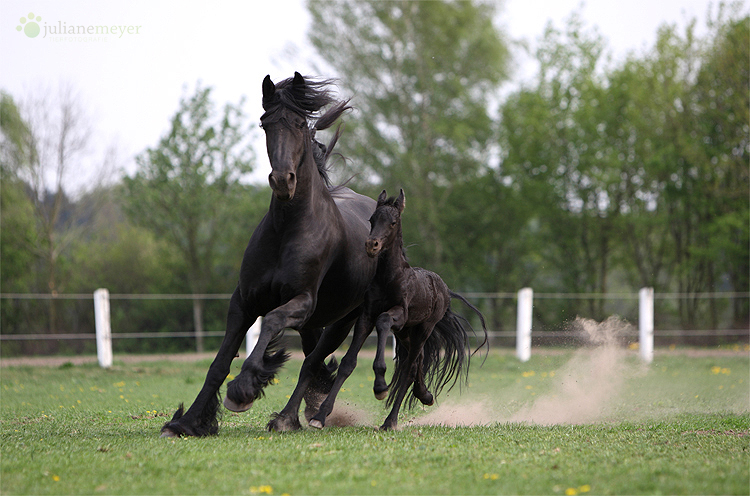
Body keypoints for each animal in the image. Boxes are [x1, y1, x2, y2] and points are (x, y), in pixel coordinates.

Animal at [160, 71, 382, 436]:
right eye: (265, 124)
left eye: (298, 123)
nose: (282, 180)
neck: (287, 230)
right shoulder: (244, 301)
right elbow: (219, 363)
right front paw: (188, 422)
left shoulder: (302, 302)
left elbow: (271, 323)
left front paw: (242, 390)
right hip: (316, 324)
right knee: (315, 362)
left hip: (349, 319)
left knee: (321, 363)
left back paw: (291, 418)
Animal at [308, 190, 490, 430]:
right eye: (372, 220)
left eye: (393, 222)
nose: (371, 244)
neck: (389, 278)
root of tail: (443, 288)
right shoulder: (367, 316)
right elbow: (348, 363)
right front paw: (319, 417)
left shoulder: (399, 315)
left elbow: (384, 321)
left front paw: (380, 387)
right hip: (406, 334)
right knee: (416, 363)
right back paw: (425, 395)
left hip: (422, 329)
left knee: (408, 369)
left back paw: (390, 420)